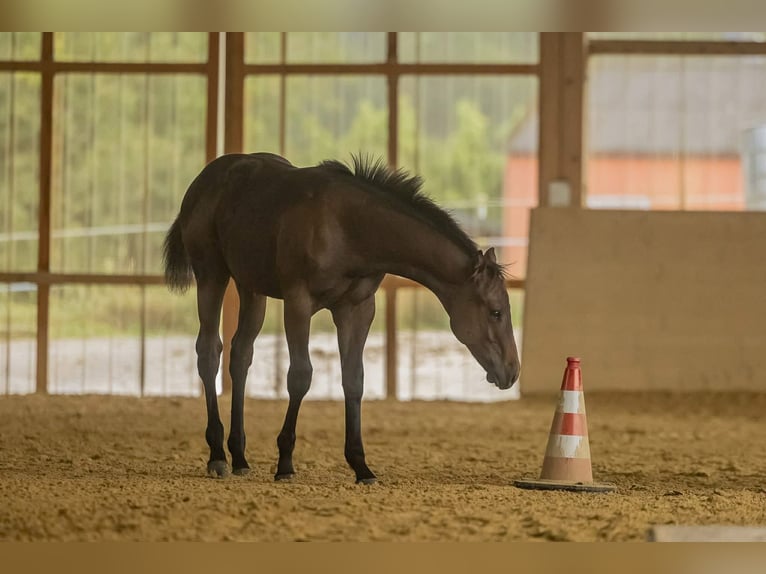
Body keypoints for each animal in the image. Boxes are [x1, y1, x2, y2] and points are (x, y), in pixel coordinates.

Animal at [163, 152, 521, 484]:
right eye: (496, 311)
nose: (513, 371)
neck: (349, 227)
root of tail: (204, 180)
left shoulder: (356, 308)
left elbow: (354, 379)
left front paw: (361, 466)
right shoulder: (298, 302)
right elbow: (300, 376)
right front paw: (285, 463)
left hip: (252, 289)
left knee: (240, 356)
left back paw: (239, 456)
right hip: (211, 275)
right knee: (209, 352)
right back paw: (217, 455)